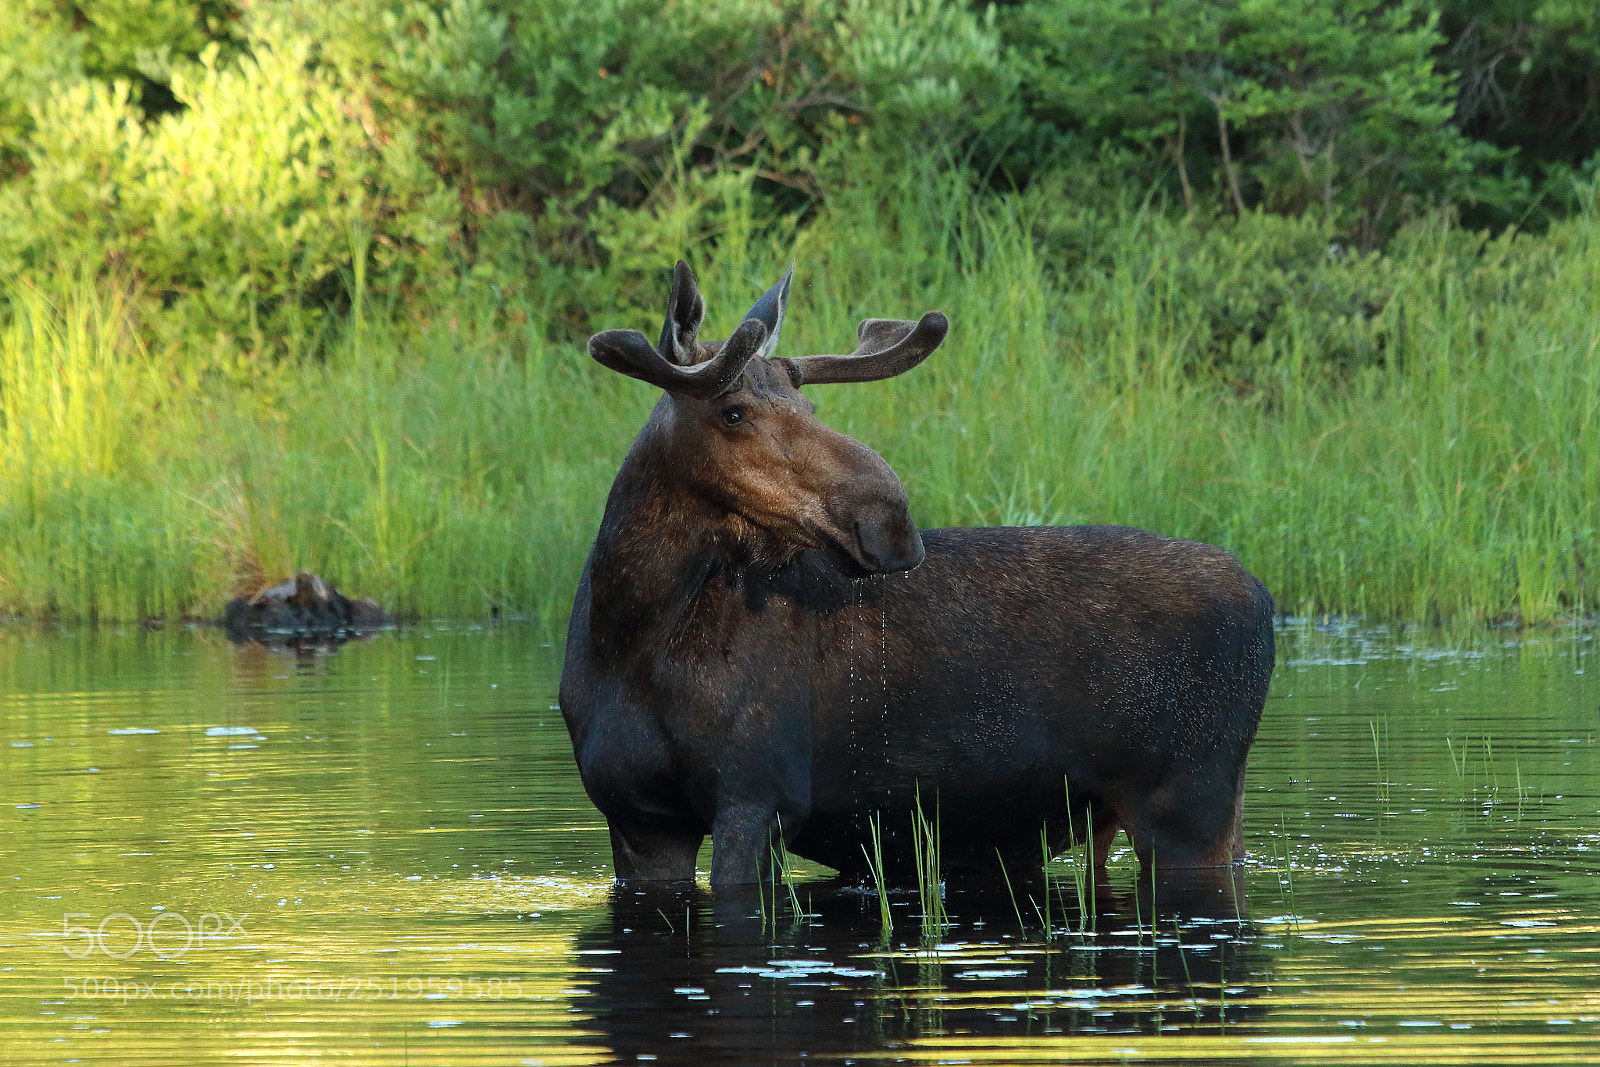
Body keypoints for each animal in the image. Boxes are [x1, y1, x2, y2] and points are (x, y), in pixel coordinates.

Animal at [559, 261, 1275, 889]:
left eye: (811, 412)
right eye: (731, 412)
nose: (891, 521)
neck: (631, 635)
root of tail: (1264, 598)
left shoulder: (758, 794)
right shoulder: (637, 819)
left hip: (1189, 800)